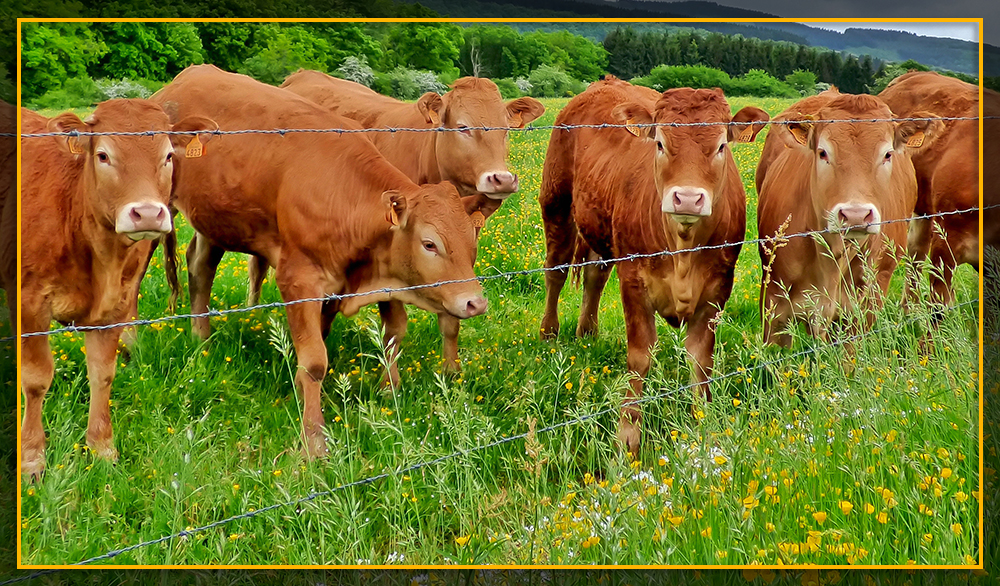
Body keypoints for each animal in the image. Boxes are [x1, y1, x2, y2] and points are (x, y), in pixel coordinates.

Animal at [19, 100, 216, 480]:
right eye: (104, 155)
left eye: (168, 155)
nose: (148, 214)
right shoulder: (29, 303)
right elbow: (36, 379)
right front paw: (32, 458)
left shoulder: (115, 307)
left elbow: (102, 374)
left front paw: (102, 449)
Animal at [151, 65, 486, 457]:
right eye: (430, 243)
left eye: (471, 241)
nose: (475, 302)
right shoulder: (298, 279)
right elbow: (314, 361)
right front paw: (314, 441)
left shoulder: (339, 285)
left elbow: (363, 338)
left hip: (216, 220)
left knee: (201, 267)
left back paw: (201, 339)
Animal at [275, 70, 545, 373]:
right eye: (462, 127)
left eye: (506, 130)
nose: (502, 179)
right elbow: (395, 327)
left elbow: (452, 316)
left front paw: (451, 374)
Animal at [539, 76, 769, 454]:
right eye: (660, 143)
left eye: (721, 146)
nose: (687, 198)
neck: (683, 250)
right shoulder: (634, 280)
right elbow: (640, 357)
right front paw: (627, 436)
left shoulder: (718, 287)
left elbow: (700, 360)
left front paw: (702, 424)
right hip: (555, 202)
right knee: (555, 271)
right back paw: (549, 332)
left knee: (594, 275)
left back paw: (587, 331)